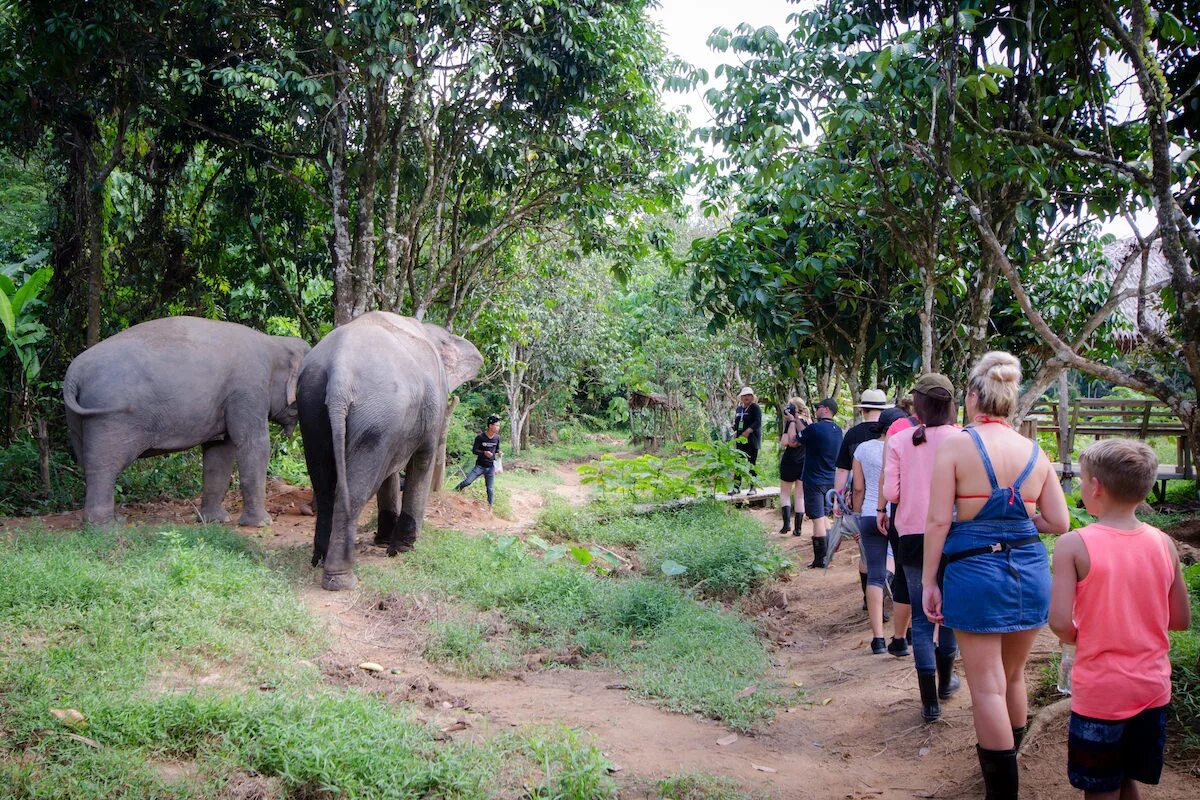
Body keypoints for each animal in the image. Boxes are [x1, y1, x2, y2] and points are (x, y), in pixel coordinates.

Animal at [63, 316, 312, 527]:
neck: (274, 343)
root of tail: (73, 374)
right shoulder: (248, 389)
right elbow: (253, 445)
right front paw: (262, 524)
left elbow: (220, 452)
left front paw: (214, 520)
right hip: (109, 416)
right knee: (105, 466)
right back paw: (106, 528)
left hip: (76, 417)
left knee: (87, 464)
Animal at [298, 309, 482, 592]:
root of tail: (340, 369)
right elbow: (422, 461)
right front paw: (403, 548)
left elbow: (390, 473)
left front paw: (385, 542)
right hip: (378, 412)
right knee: (353, 492)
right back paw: (342, 579)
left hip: (313, 404)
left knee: (325, 486)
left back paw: (319, 559)